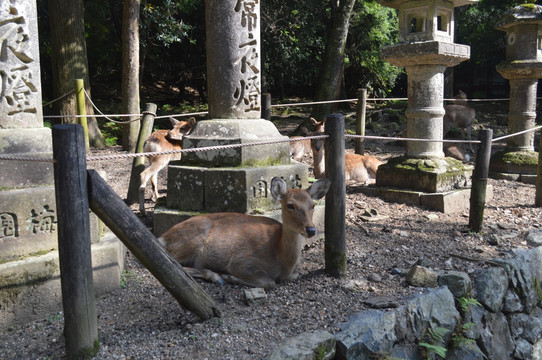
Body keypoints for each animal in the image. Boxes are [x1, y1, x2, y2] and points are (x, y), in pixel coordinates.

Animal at [159, 176, 334, 288]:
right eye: (290, 205)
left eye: (312, 205)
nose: (311, 229)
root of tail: (163, 237)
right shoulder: (241, 261)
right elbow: (268, 282)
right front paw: (228, 276)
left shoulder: (294, 273)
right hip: (192, 238)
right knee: (172, 264)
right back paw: (216, 276)